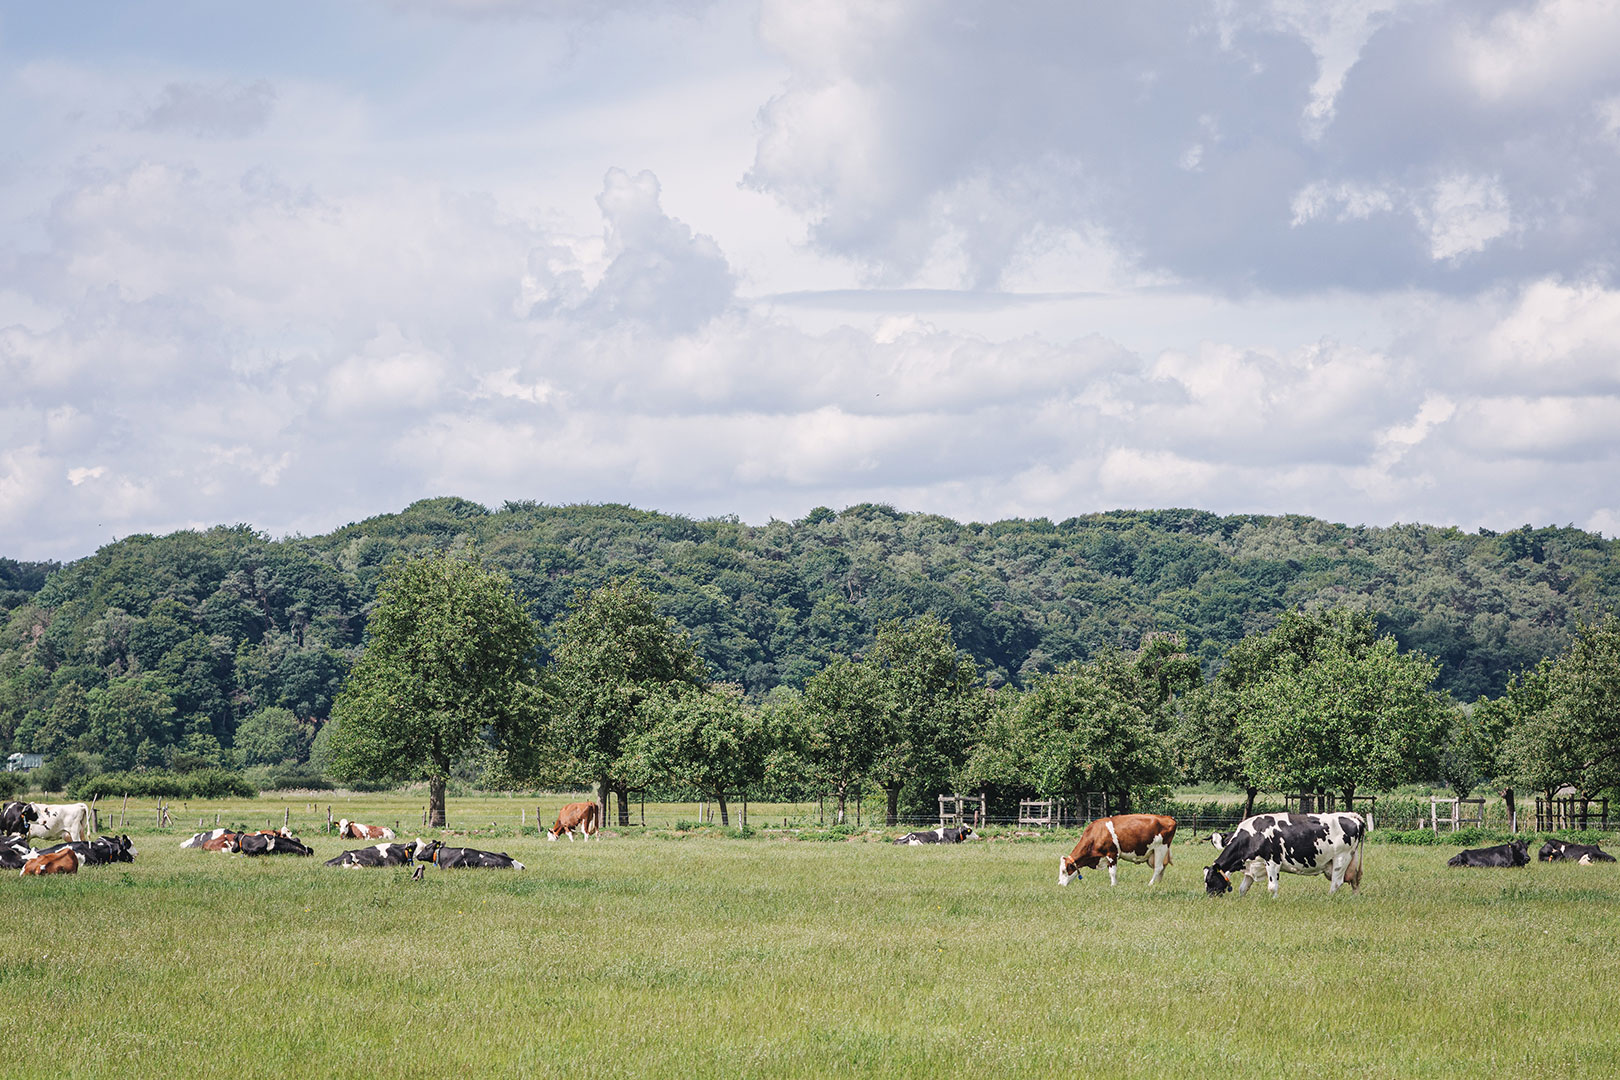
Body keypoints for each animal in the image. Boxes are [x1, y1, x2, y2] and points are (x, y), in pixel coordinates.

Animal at [1205, 816, 1367, 900]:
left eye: (1210, 879)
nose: (1210, 897)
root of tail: (1354, 816)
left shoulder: (1272, 862)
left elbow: (1272, 887)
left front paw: (1274, 901)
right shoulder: (1253, 866)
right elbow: (1242, 888)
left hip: (1341, 858)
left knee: (1336, 882)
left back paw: (1328, 898)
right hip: (1349, 861)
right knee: (1354, 881)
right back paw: (1355, 899)